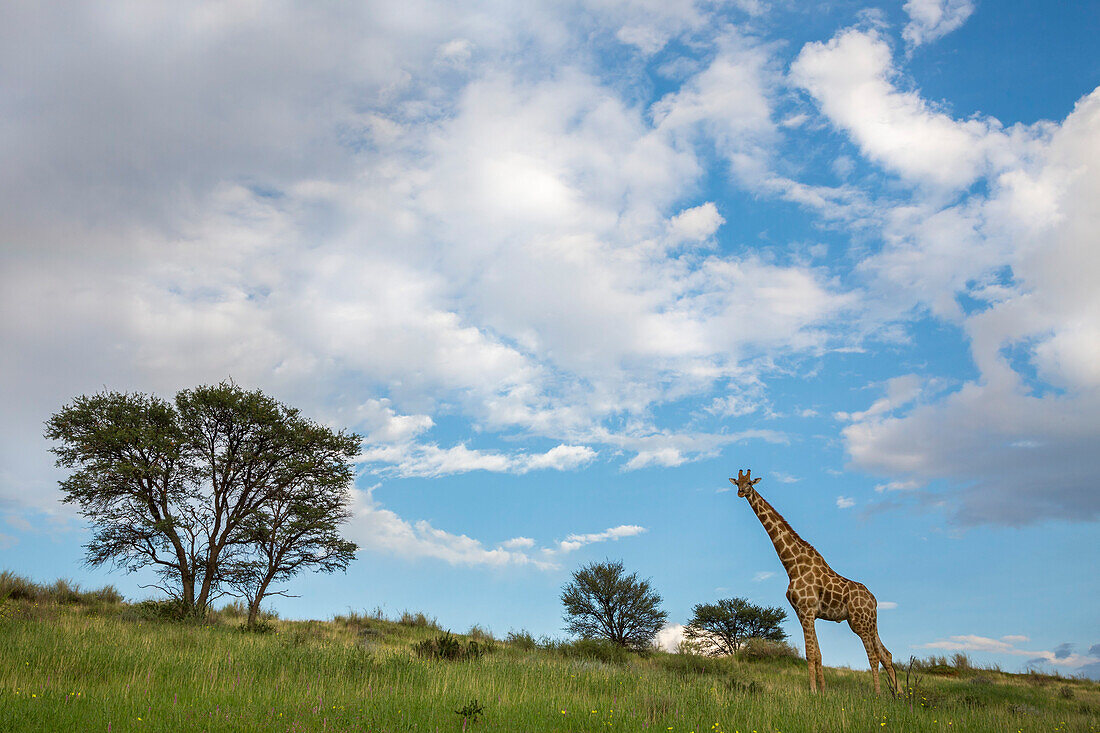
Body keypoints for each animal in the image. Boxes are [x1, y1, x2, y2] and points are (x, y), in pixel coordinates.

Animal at [730, 468, 893, 691]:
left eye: (750, 483)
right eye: (737, 482)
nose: (740, 492)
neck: (792, 565)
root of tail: (874, 600)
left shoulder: (807, 610)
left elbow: (810, 654)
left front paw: (814, 691)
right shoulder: (803, 613)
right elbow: (818, 654)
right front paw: (823, 691)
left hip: (860, 622)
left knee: (874, 656)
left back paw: (877, 694)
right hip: (869, 622)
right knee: (887, 654)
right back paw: (898, 694)